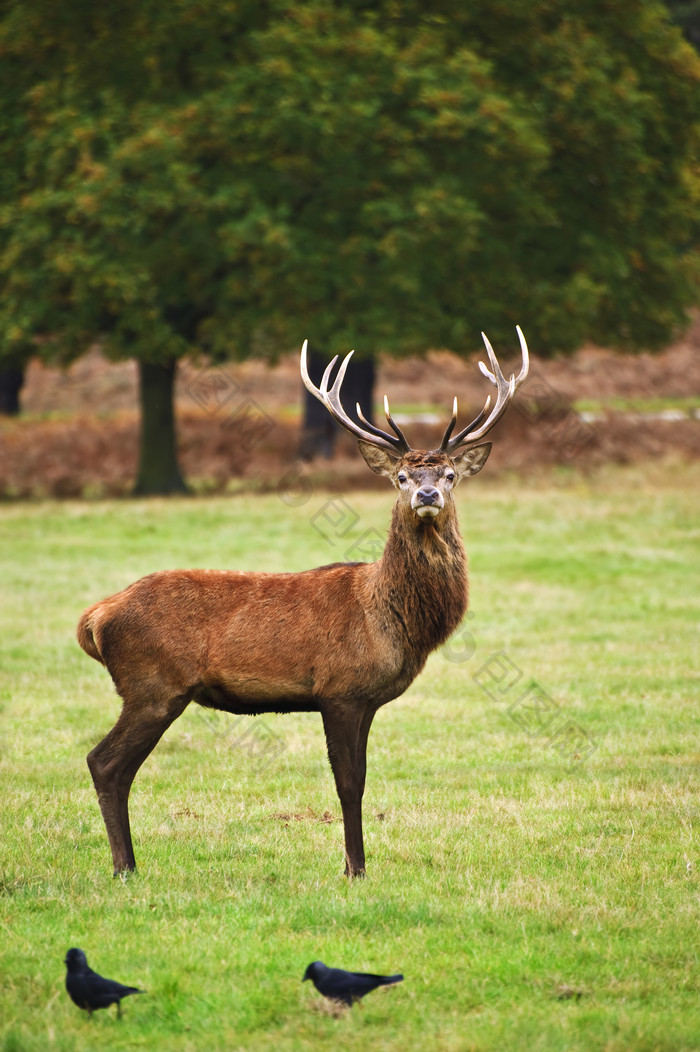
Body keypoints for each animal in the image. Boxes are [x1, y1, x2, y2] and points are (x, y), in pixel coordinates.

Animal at [77, 330, 524, 879]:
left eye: (449, 475)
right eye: (400, 477)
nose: (425, 494)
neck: (392, 620)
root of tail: (96, 616)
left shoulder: (366, 699)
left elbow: (362, 777)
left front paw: (357, 865)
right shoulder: (339, 688)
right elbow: (349, 783)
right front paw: (355, 869)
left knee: (113, 766)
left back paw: (130, 864)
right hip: (151, 685)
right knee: (104, 762)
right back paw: (125, 867)